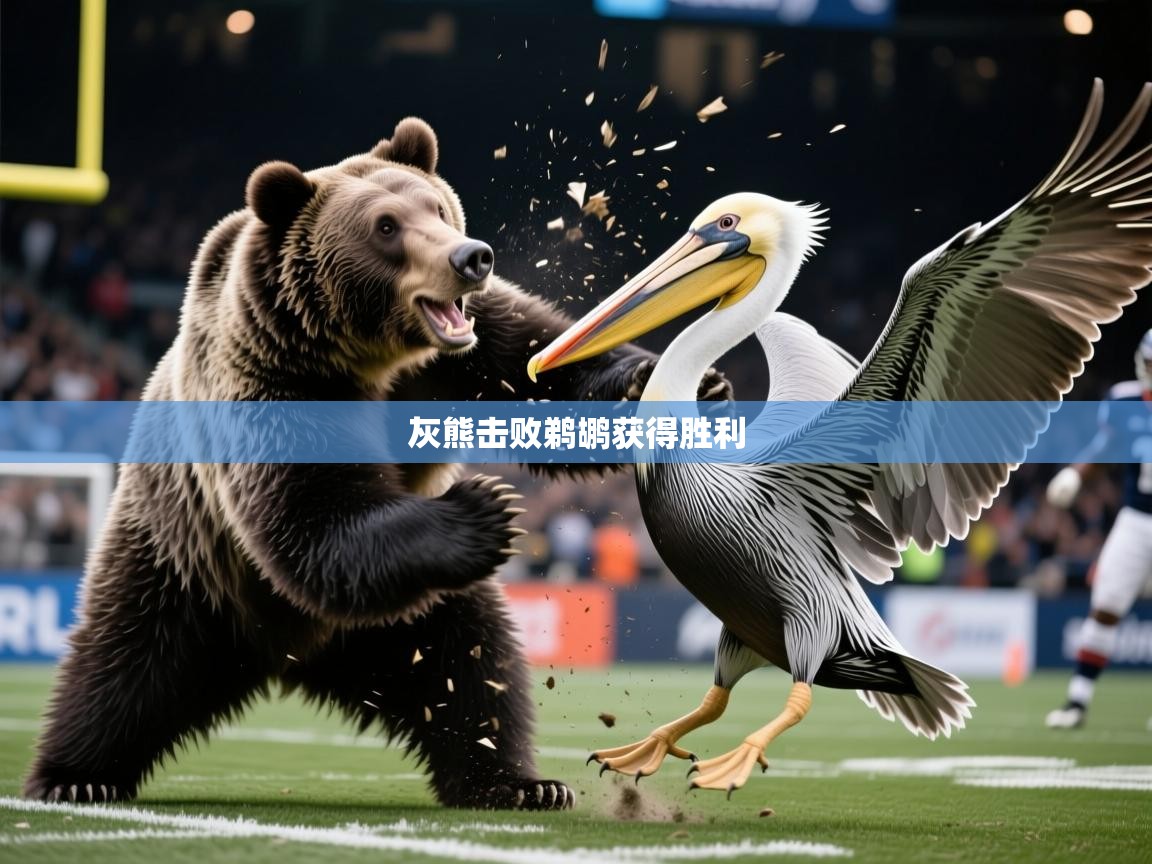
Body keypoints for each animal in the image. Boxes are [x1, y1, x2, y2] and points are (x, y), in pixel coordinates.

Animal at [23, 116, 730, 810]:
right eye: (386, 226)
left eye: (437, 207)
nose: (471, 257)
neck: (376, 357)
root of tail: (288, 657)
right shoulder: (275, 384)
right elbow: (310, 514)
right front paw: (485, 507)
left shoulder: (467, 355)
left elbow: (545, 370)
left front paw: (685, 384)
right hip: (187, 565)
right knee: (123, 662)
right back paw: (75, 775)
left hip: (410, 620)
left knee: (473, 668)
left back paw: (516, 781)